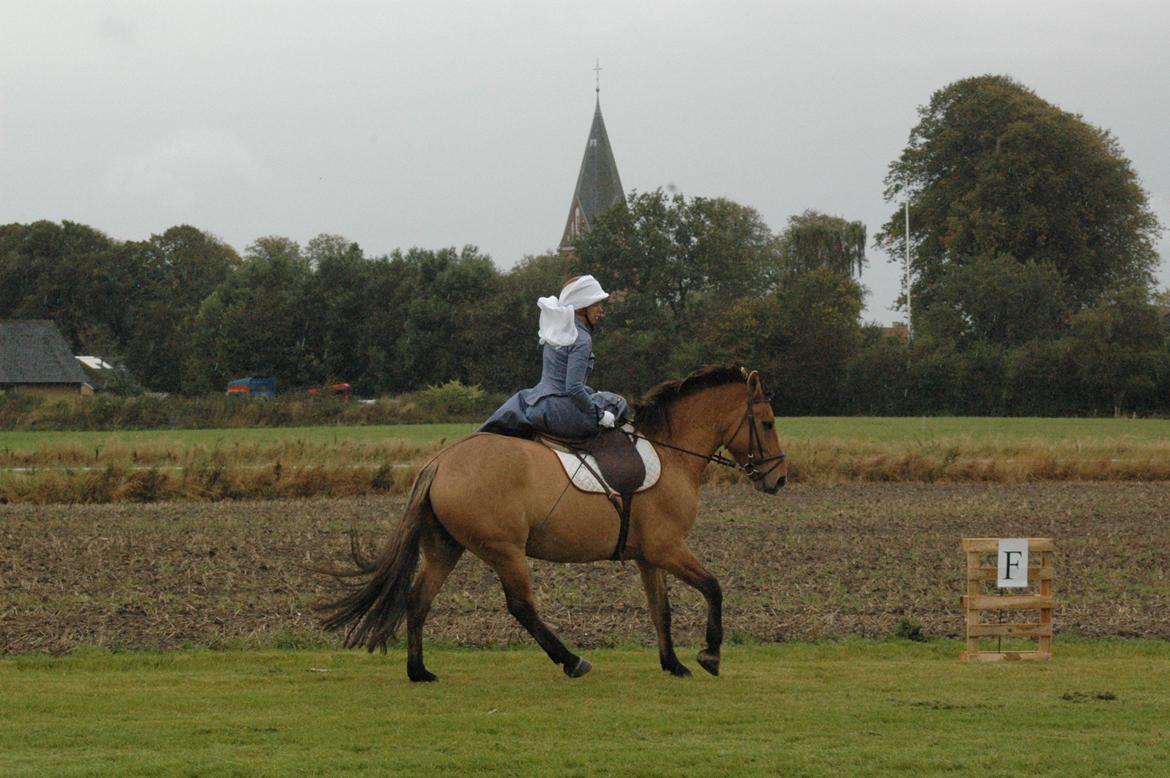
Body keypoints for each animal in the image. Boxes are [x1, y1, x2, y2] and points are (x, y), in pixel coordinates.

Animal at [315, 365, 786, 678]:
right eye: (766, 423)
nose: (779, 479)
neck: (672, 455)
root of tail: (440, 461)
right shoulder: (668, 548)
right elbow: (713, 587)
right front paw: (710, 654)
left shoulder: (648, 557)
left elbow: (661, 610)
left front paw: (673, 664)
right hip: (504, 551)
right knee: (521, 606)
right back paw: (571, 660)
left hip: (445, 547)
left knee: (418, 599)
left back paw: (419, 671)